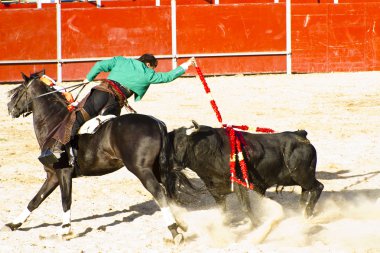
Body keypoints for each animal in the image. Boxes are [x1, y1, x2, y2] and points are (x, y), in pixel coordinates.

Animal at [4, 71, 186, 243]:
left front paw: (65, 229)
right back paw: (181, 224)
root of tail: (156, 123)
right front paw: (14, 224)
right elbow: (36, 200)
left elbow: (65, 200)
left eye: (18, 90)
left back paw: (174, 231)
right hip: (157, 168)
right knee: (169, 192)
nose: (9, 107)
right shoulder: (52, 175)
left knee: (159, 192)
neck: (54, 124)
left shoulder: (63, 173)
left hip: (141, 170)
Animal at [169, 121, 324, 218]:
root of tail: (301, 135)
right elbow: (222, 211)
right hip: (299, 178)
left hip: (303, 175)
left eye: (182, 144)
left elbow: (245, 207)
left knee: (318, 187)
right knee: (306, 191)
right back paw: (301, 211)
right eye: (171, 146)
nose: (174, 166)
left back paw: (307, 214)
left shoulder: (240, 184)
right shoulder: (214, 189)